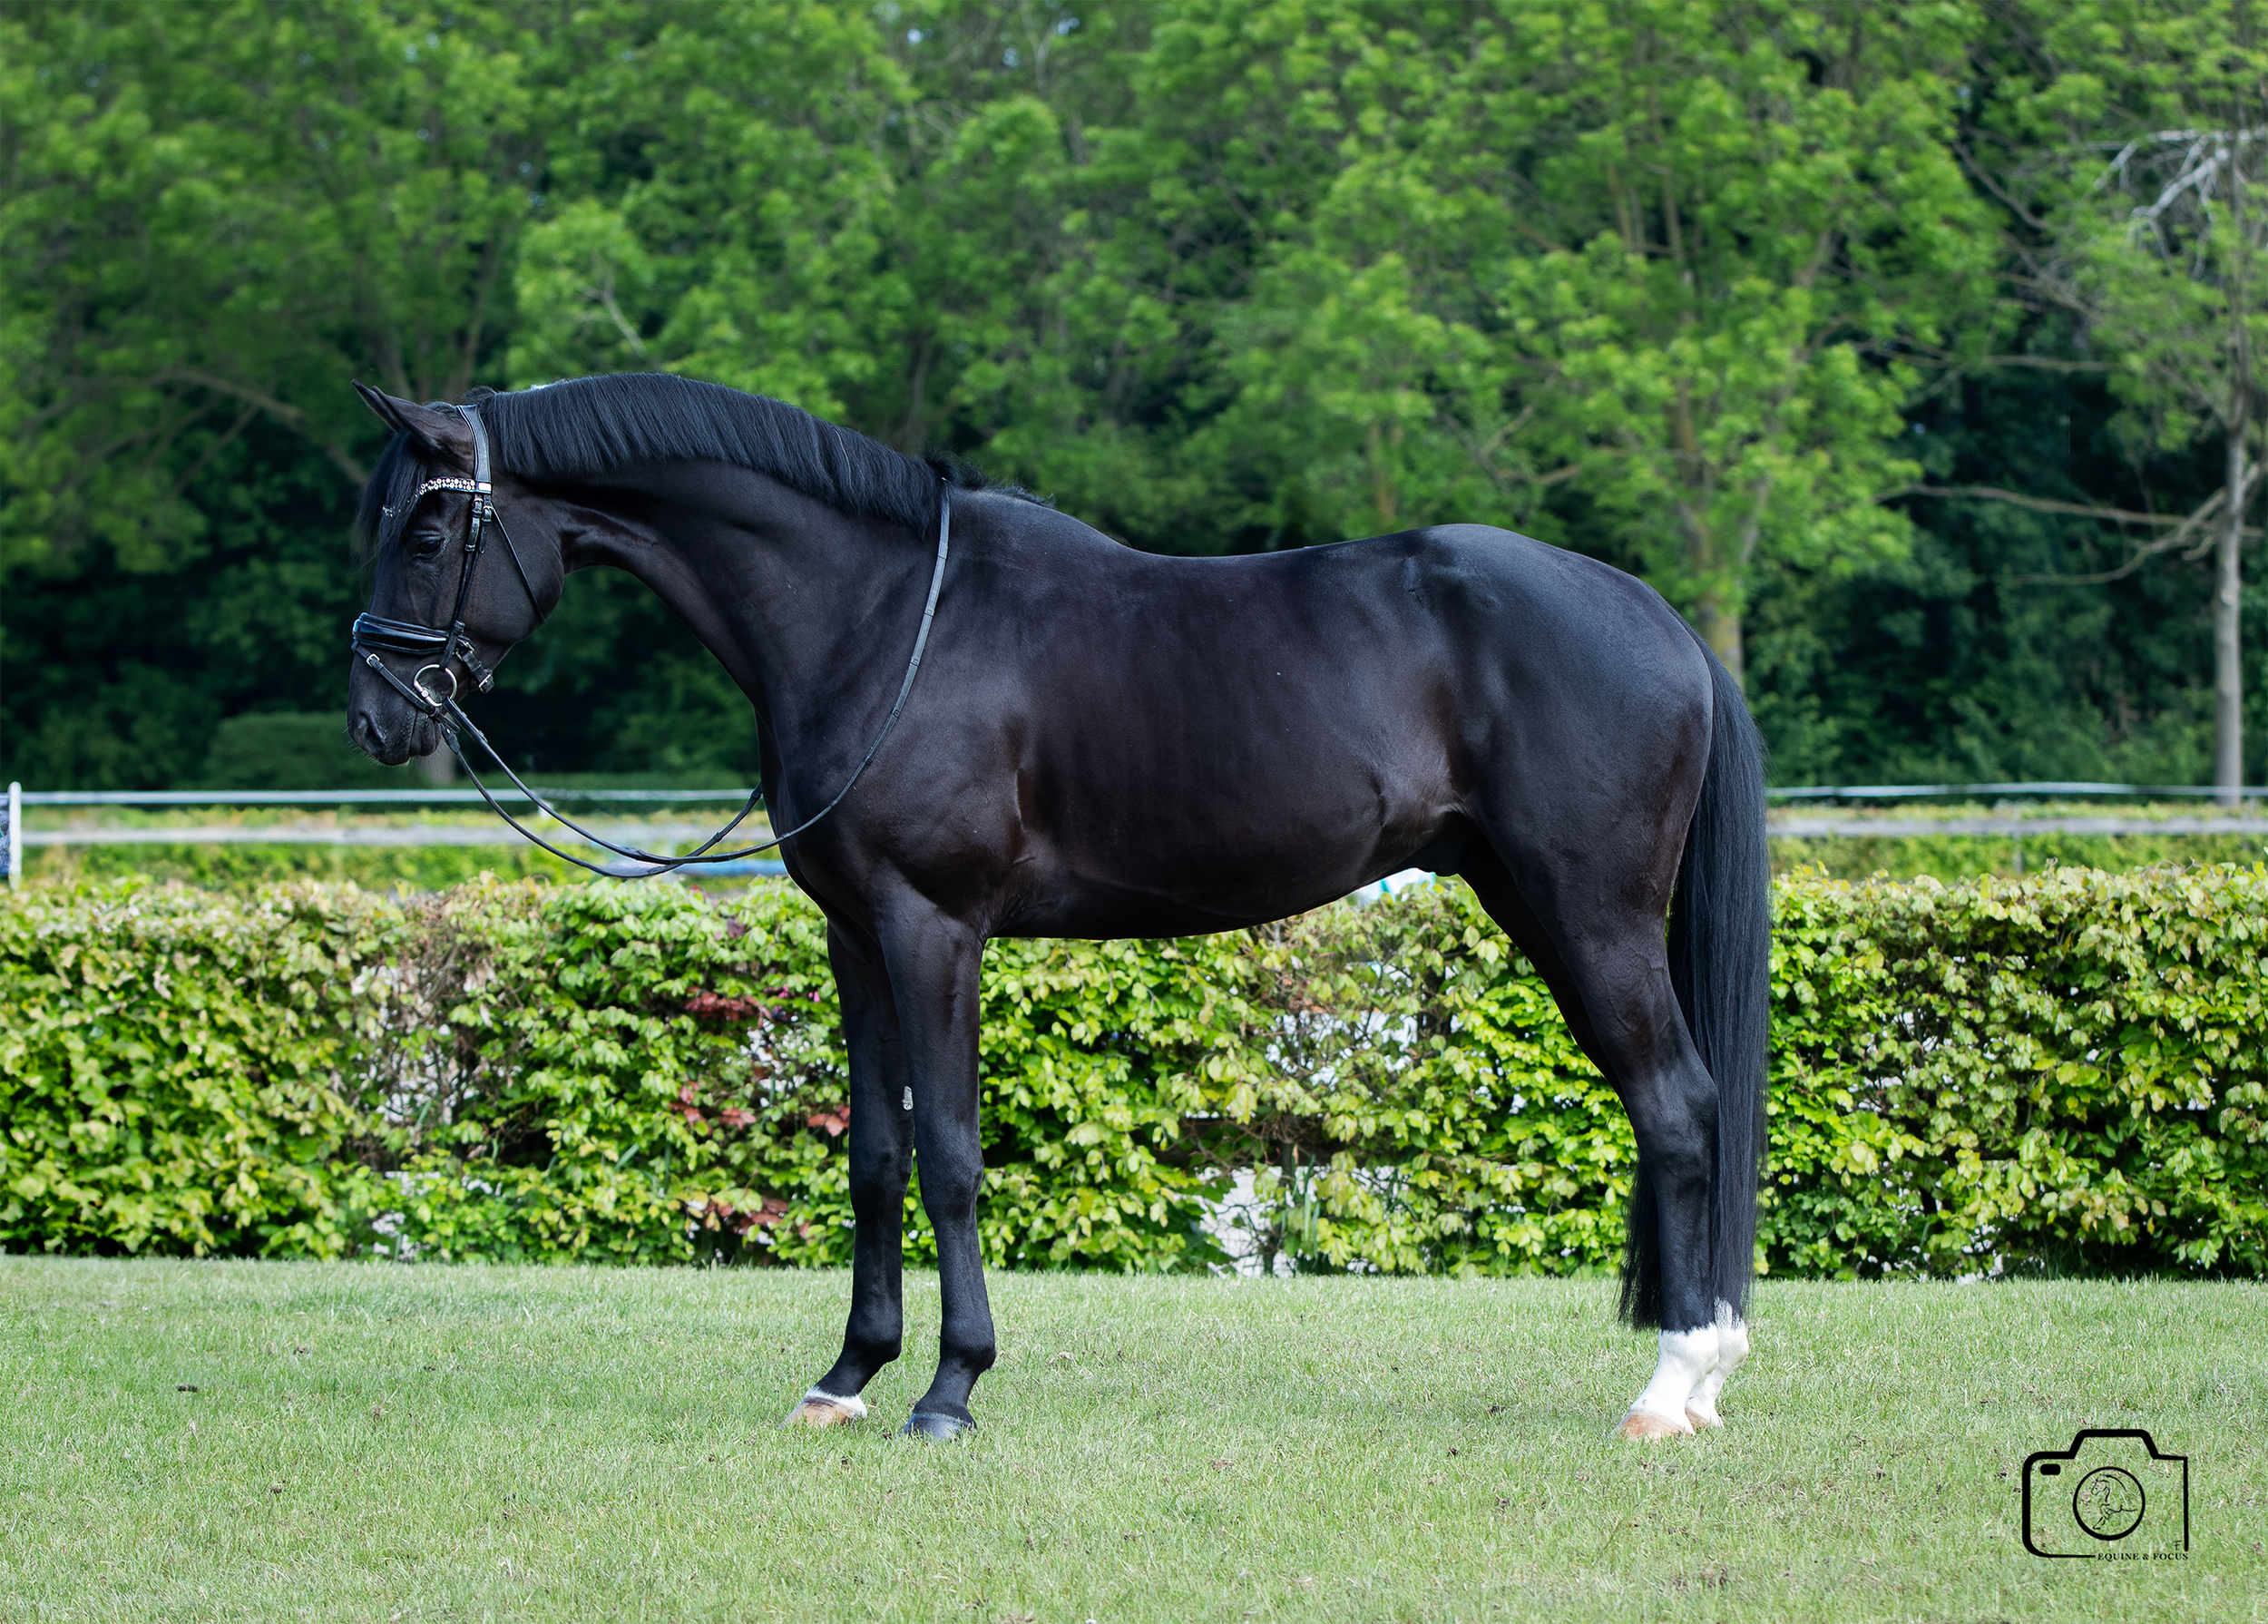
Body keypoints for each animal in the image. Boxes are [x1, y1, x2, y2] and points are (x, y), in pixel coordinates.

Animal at [344, 371, 1770, 1442]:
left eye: (427, 532)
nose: (376, 718)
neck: (880, 621)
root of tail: (1659, 619)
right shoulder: (855, 935)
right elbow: (874, 1156)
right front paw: (847, 1376)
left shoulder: (933, 927)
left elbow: (950, 1156)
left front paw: (949, 1388)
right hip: (1535, 902)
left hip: (1588, 916)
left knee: (1677, 1106)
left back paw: (1675, 1382)